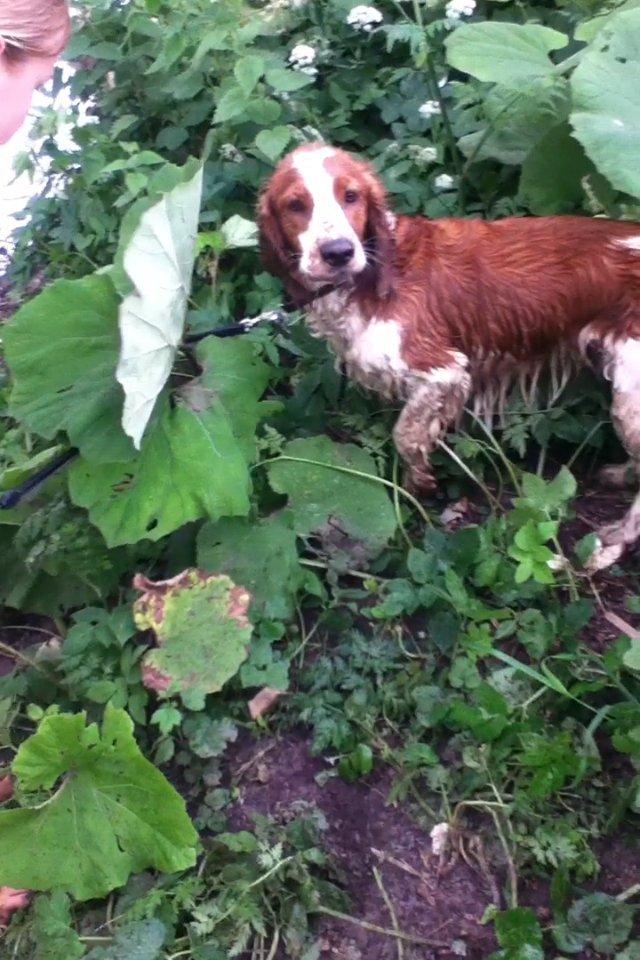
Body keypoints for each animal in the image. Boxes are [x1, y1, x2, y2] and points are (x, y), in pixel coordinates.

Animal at [256, 139, 640, 568]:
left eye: (350, 196)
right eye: (295, 205)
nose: (338, 252)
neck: (378, 271)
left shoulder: (444, 370)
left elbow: (405, 433)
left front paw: (419, 482)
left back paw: (615, 540)